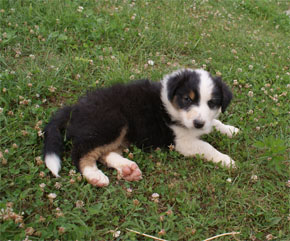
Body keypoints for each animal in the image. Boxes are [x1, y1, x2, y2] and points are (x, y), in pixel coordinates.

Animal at [44, 68, 239, 187]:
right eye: (187, 99)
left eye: (212, 103)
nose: (198, 123)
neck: (171, 106)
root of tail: (74, 108)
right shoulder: (181, 141)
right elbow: (206, 146)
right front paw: (226, 160)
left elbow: (215, 122)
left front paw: (230, 130)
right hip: (111, 122)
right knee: (81, 152)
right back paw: (94, 175)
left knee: (104, 153)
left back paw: (127, 169)